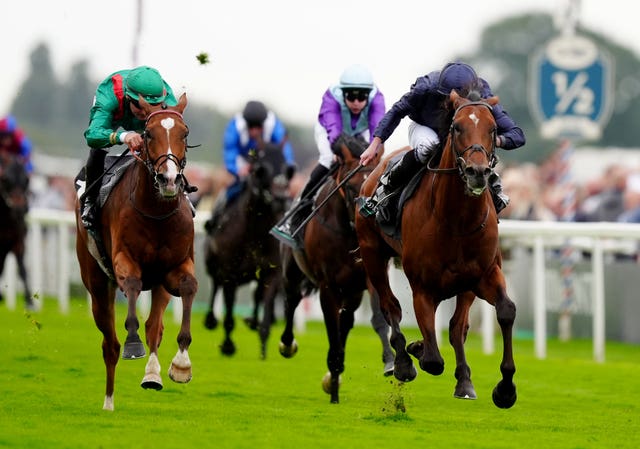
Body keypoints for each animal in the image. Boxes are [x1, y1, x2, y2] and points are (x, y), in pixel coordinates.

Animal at [74, 94, 198, 410]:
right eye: (148, 134)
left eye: (185, 133)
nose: (169, 179)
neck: (157, 212)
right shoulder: (124, 261)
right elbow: (131, 286)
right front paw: (133, 343)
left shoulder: (175, 267)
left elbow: (188, 288)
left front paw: (181, 364)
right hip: (96, 283)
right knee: (109, 344)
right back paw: (108, 402)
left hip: (159, 285)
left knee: (155, 327)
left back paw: (152, 375)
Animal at [204, 142, 294, 358]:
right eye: (261, 169)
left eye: (289, 169)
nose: (281, 198)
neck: (256, 232)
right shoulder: (230, 273)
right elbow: (228, 312)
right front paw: (228, 346)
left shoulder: (272, 272)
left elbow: (266, 311)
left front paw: (263, 350)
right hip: (212, 262)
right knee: (215, 284)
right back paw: (210, 320)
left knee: (257, 295)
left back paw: (252, 321)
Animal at [280, 135, 396, 404]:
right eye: (352, 187)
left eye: (376, 184)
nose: (367, 219)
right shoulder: (327, 287)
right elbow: (332, 332)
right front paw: (333, 385)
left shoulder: (369, 277)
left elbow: (378, 318)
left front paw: (389, 361)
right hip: (292, 271)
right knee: (292, 300)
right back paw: (288, 344)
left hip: (352, 292)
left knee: (347, 318)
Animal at [358, 90, 516, 406]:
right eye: (456, 127)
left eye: (493, 129)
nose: (477, 172)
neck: (456, 220)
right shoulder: (423, 287)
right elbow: (432, 359)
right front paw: (416, 349)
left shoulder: (482, 275)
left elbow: (502, 312)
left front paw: (504, 388)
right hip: (372, 254)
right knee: (390, 307)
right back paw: (403, 362)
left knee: (456, 328)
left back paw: (463, 380)